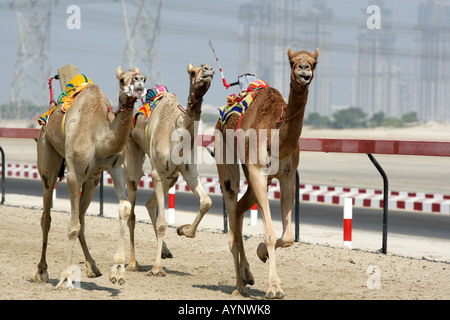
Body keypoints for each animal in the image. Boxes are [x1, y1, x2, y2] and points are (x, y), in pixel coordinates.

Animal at [36, 66, 148, 288]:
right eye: (122, 80)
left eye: (143, 77)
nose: (139, 80)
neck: (99, 137)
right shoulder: (73, 174)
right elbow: (72, 227)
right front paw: (65, 277)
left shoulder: (116, 167)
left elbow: (124, 208)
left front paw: (118, 271)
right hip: (47, 158)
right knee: (47, 215)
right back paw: (42, 271)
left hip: (92, 180)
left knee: (81, 218)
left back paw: (93, 268)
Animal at [123, 62, 214, 276]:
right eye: (192, 72)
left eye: (209, 69)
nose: (207, 70)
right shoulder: (157, 174)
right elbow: (162, 223)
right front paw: (156, 268)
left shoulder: (189, 173)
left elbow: (206, 202)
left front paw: (184, 230)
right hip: (133, 153)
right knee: (132, 210)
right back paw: (133, 263)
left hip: (172, 177)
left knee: (150, 204)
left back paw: (165, 251)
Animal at [213, 47, 318, 298]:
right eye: (291, 61)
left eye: (314, 62)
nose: (303, 70)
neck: (276, 136)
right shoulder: (258, 172)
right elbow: (269, 232)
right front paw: (274, 288)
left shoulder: (287, 176)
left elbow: (288, 236)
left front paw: (262, 252)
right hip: (226, 157)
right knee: (232, 203)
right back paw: (239, 286)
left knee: (239, 209)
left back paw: (246, 275)